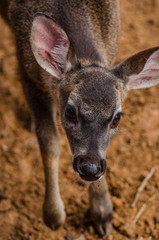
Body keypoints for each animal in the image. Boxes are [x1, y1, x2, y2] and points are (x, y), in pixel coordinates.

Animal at [0, 0, 159, 236]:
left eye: (117, 118)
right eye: (69, 111)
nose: (90, 169)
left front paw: (102, 212)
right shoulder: (28, 74)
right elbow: (49, 141)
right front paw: (53, 214)